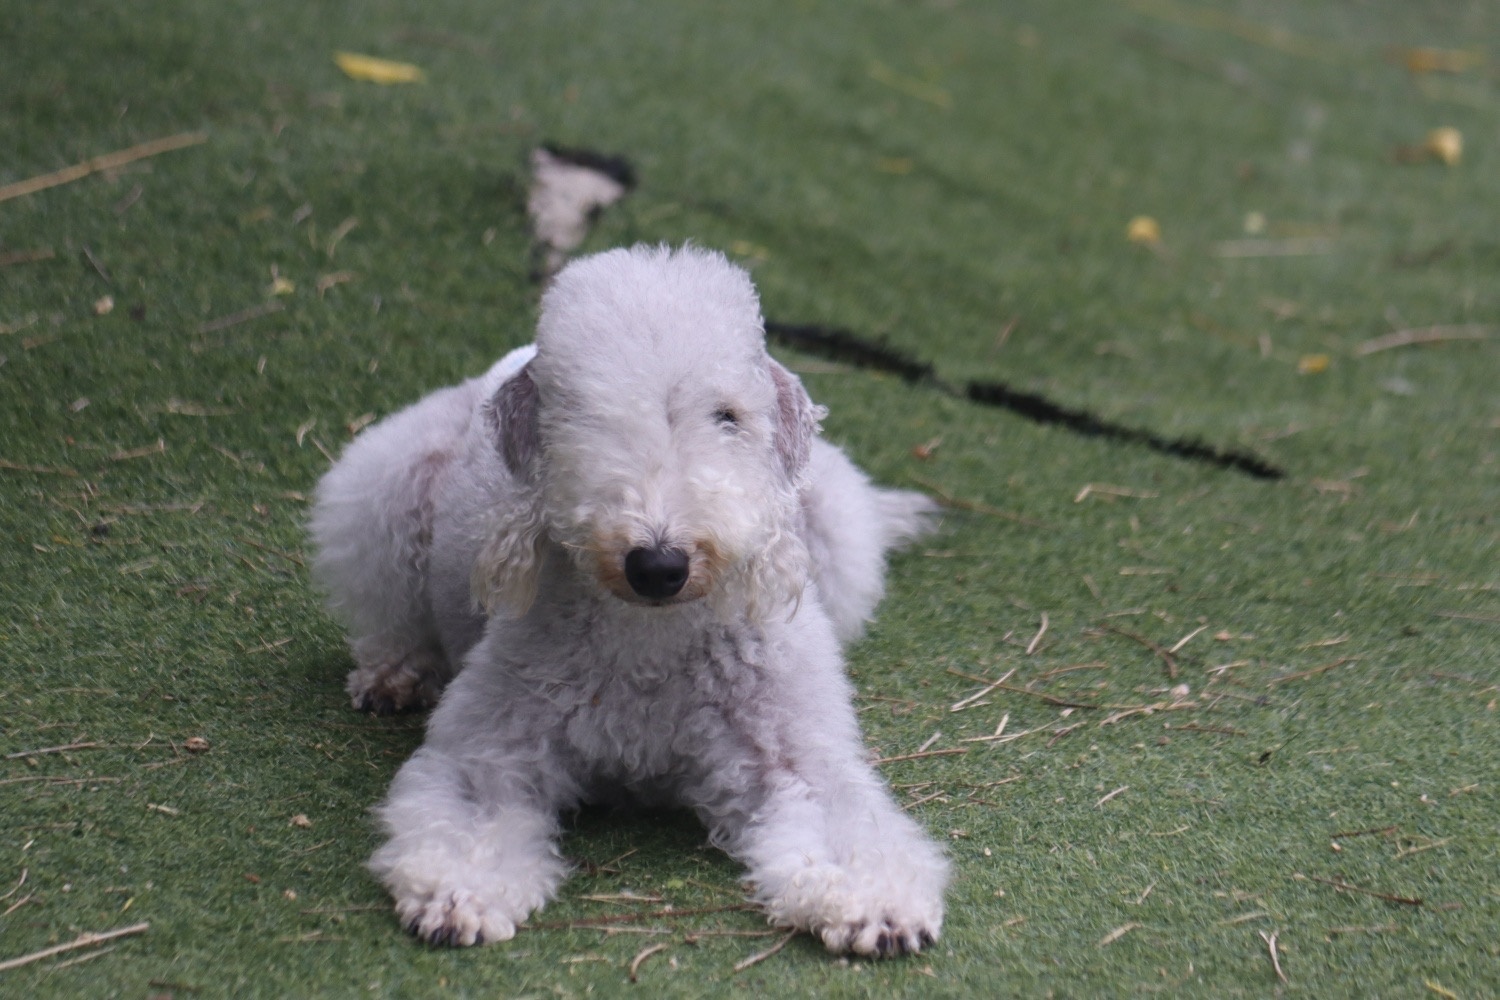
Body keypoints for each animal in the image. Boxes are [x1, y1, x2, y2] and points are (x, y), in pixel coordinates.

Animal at [310, 245, 948, 959]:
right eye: (584, 415)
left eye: (728, 416)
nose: (658, 564)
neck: (651, 638)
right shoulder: (491, 748)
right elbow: (470, 816)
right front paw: (458, 893)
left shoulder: (800, 756)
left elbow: (846, 827)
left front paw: (877, 905)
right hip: (388, 481)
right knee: (390, 612)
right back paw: (396, 673)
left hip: (834, 521)